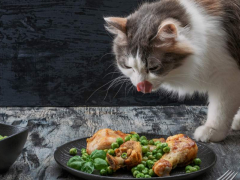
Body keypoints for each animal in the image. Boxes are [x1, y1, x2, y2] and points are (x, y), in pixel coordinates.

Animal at [104, 0, 240, 142]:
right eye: (128, 67)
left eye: (153, 68)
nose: (141, 85)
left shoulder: (228, 76)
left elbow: (220, 109)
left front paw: (213, 130)